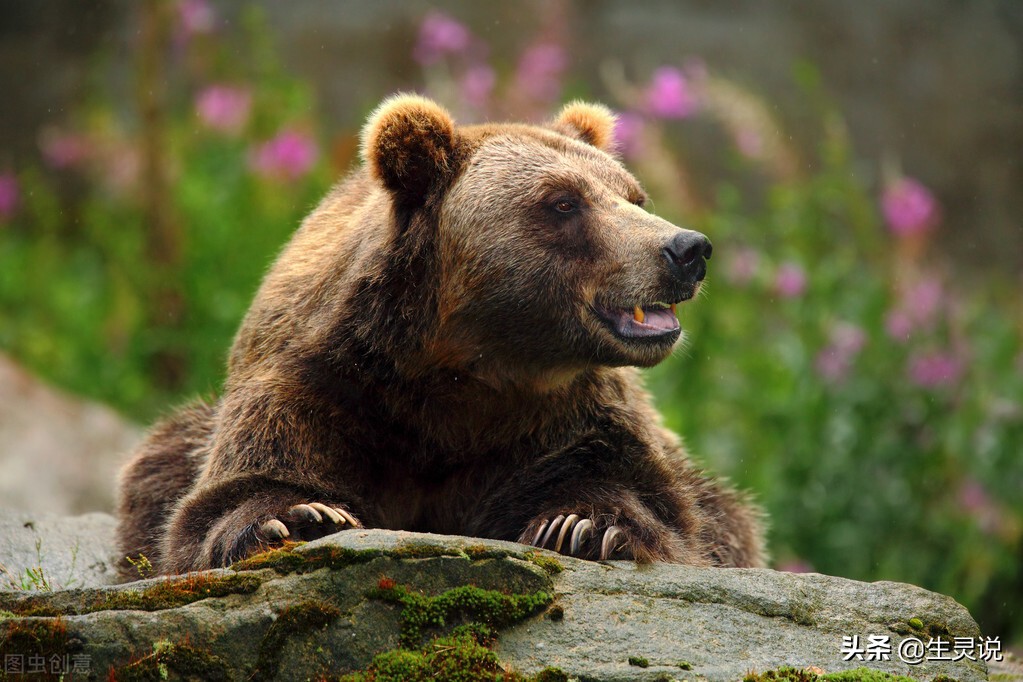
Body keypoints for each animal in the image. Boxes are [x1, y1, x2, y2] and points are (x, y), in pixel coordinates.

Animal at [116, 94, 765, 577]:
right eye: (563, 202)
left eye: (634, 196)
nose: (686, 249)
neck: (463, 366)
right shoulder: (321, 384)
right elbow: (230, 493)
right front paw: (300, 516)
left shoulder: (567, 416)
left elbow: (651, 501)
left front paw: (584, 525)